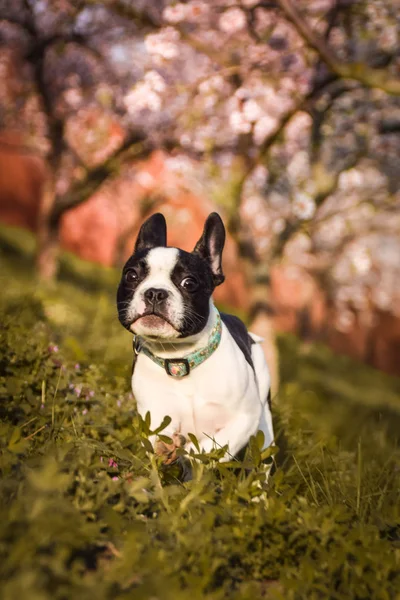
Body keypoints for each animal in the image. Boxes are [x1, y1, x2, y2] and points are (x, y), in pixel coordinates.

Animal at [116, 211, 276, 464]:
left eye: (189, 283)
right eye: (131, 275)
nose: (155, 292)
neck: (180, 357)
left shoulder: (245, 418)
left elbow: (212, 448)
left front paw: (192, 454)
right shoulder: (156, 415)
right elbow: (159, 439)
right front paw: (169, 451)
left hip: (264, 425)